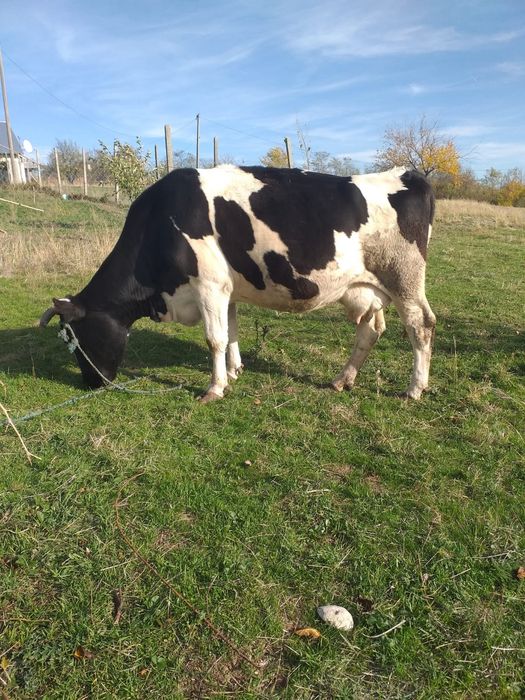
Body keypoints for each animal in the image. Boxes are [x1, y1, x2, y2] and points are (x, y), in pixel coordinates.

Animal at [39, 165, 436, 402]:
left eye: (72, 337)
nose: (91, 383)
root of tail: (408, 174)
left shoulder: (209, 285)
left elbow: (214, 338)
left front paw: (215, 388)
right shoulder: (226, 289)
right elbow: (230, 331)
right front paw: (234, 370)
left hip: (405, 279)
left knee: (421, 326)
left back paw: (414, 388)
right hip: (366, 289)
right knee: (370, 331)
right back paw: (343, 379)